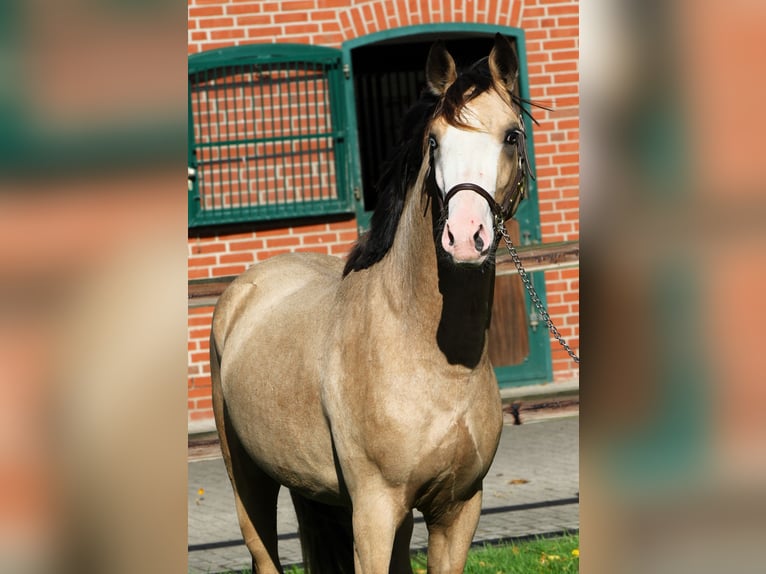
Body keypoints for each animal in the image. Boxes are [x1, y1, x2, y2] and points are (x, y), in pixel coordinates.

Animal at [210, 33, 536, 572]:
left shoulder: (457, 511)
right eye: (433, 141)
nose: (465, 236)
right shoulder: (375, 511)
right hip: (248, 482)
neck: (432, 358)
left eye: (511, 136)